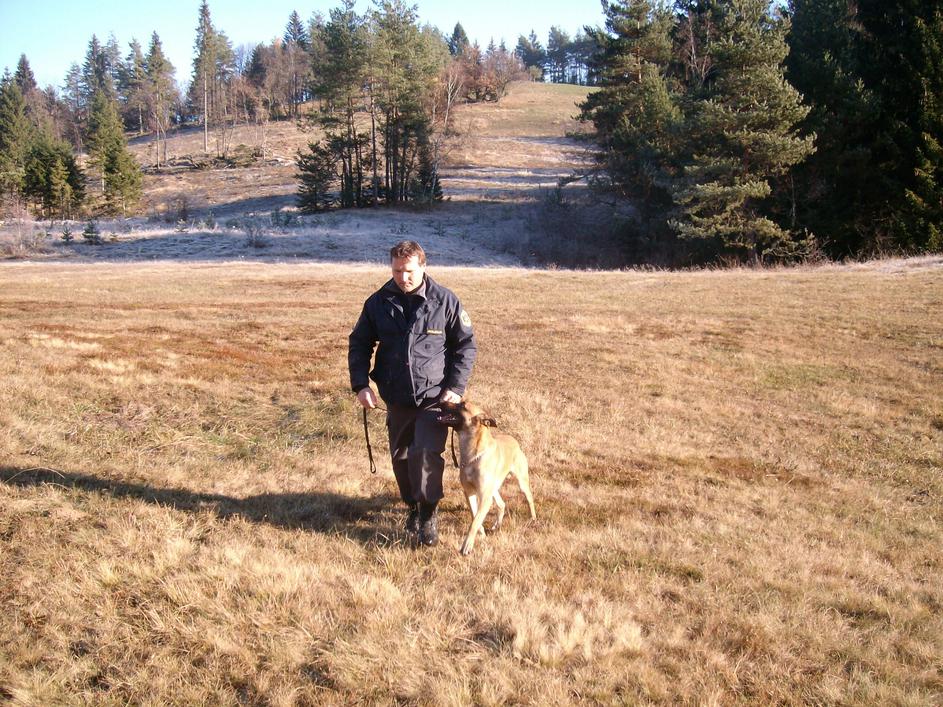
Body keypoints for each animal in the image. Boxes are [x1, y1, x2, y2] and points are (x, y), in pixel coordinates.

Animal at [438, 400, 536, 555]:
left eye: (463, 405)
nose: (441, 400)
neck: (473, 455)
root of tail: (513, 440)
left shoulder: (484, 496)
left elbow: (475, 521)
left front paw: (467, 545)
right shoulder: (470, 492)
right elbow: (474, 516)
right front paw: (481, 533)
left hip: (521, 482)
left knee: (529, 498)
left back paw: (533, 518)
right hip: (493, 488)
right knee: (501, 504)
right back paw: (497, 525)